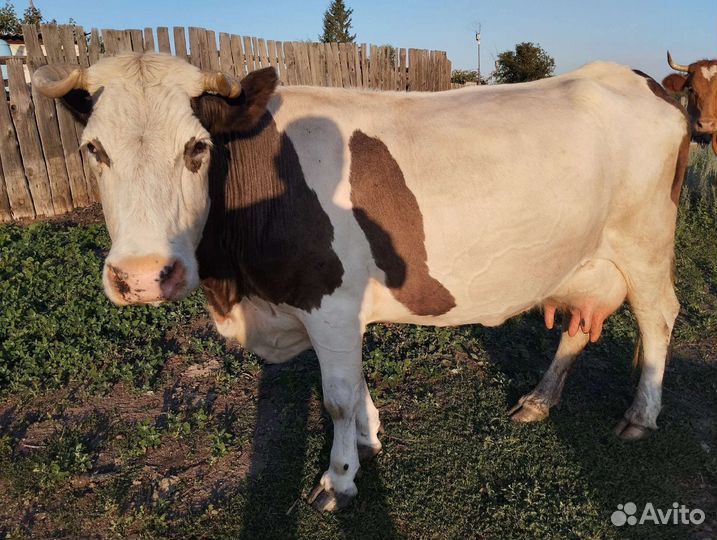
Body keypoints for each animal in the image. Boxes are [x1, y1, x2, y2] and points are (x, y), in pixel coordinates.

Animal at [32, 53, 689, 511]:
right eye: (94, 149)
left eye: (196, 148)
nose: (142, 276)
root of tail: (636, 77)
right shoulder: (339, 311)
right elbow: (355, 386)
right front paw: (371, 440)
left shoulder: (329, 302)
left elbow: (337, 397)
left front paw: (339, 479)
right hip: (583, 257)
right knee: (579, 323)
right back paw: (538, 400)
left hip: (646, 243)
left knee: (659, 315)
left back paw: (641, 415)